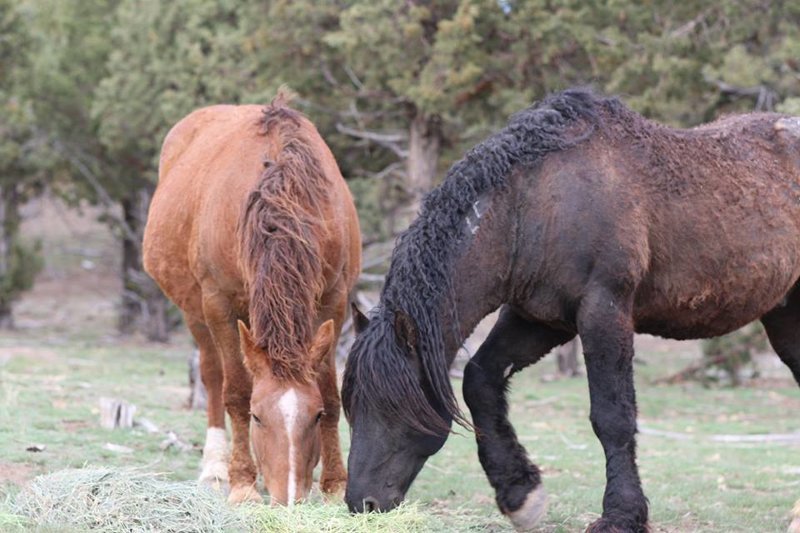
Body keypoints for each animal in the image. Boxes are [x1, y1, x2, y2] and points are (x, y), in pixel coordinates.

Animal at [142, 93, 360, 504]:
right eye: (259, 416)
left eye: (315, 416)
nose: (287, 497)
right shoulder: (219, 303)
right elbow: (237, 392)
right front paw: (242, 482)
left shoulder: (334, 301)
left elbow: (331, 390)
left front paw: (335, 484)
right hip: (195, 311)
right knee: (212, 375)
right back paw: (215, 466)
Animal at [340, 89, 800, 528]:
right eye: (350, 406)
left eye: (394, 406)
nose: (362, 503)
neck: (533, 204)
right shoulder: (538, 318)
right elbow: (479, 380)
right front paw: (520, 495)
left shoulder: (604, 312)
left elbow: (612, 416)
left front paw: (620, 515)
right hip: (783, 317)